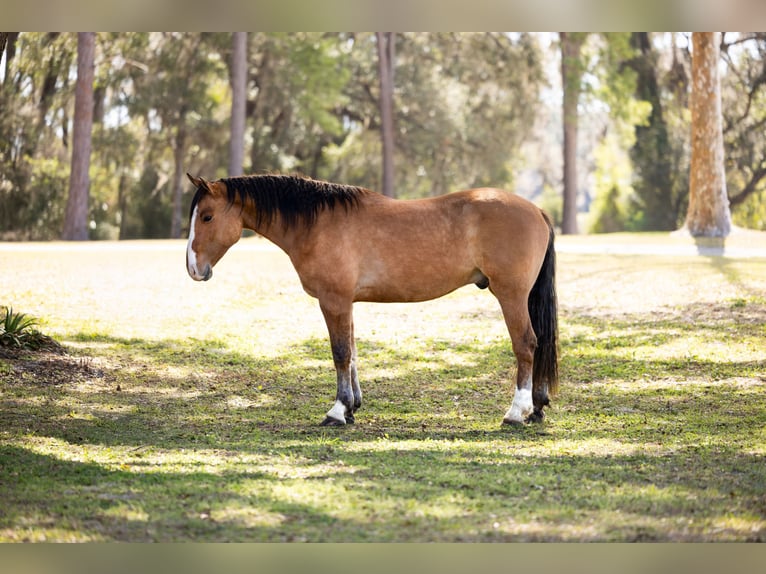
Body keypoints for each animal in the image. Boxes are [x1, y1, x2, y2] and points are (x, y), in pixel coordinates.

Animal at [185, 173, 558, 427]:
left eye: (207, 216)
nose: (193, 269)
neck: (318, 224)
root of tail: (537, 211)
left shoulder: (333, 301)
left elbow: (340, 353)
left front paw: (338, 411)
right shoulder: (346, 303)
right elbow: (351, 354)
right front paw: (352, 407)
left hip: (510, 295)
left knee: (526, 344)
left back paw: (516, 412)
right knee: (538, 343)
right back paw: (537, 406)